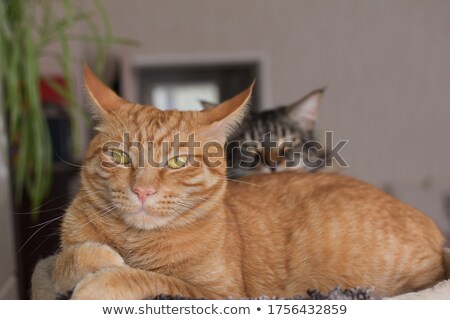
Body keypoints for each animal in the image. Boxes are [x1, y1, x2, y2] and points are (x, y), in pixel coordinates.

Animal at [52, 66, 446, 298]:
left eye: (178, 161)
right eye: (119, 157)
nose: (142, 191)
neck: (133, 242)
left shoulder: (220, 295)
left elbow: (148, 279)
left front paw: (100, 280)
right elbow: (62, 262)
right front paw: (91, 262)